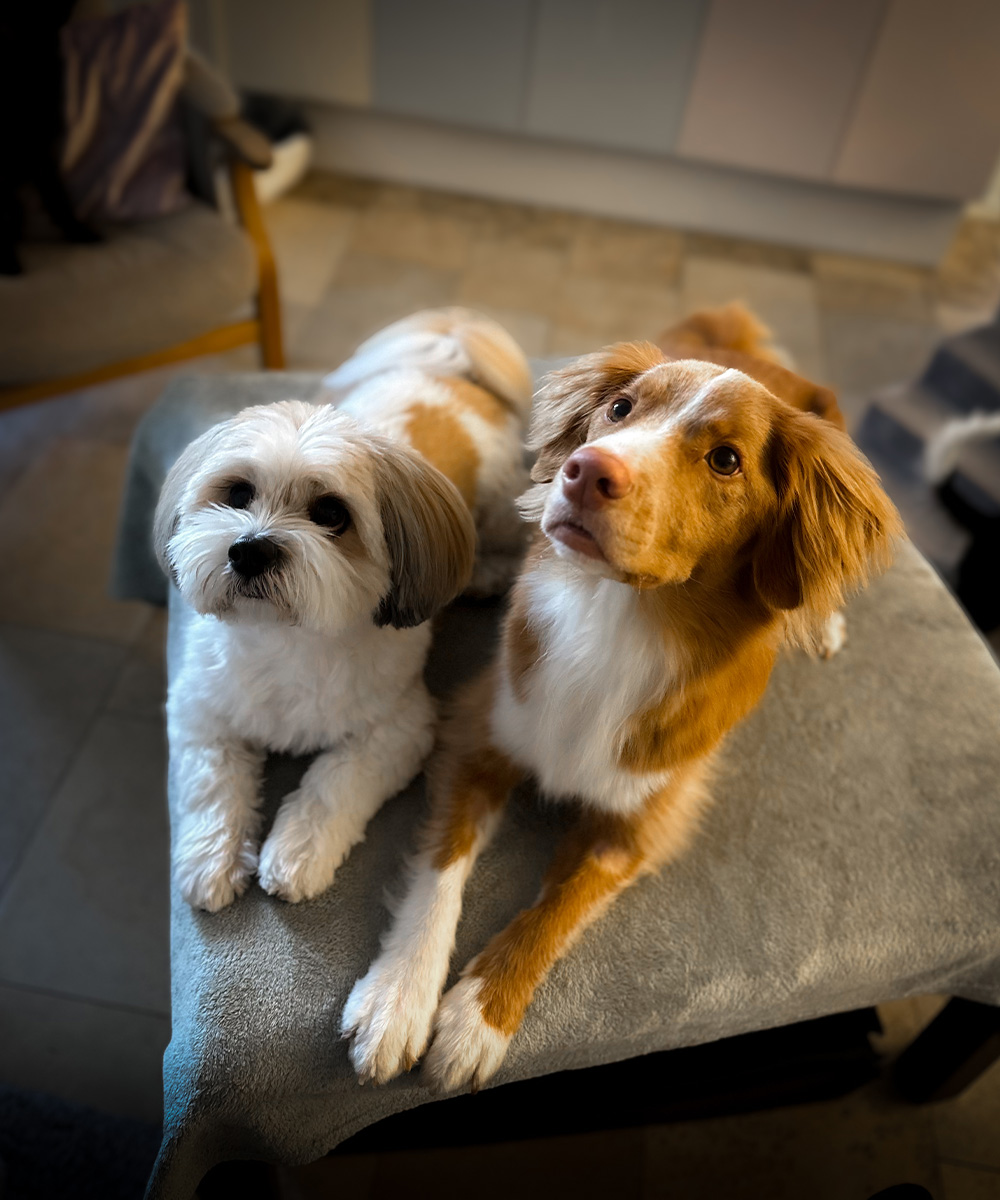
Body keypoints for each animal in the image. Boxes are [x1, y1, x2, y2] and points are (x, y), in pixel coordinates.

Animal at [154, 309, 532, 912]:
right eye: (237, 494)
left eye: (331, 513)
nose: (250, 549)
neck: (288, 640)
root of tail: (451, 365)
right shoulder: (200, 709)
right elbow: (212, 782)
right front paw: (211, 858)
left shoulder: (398, 727)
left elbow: (335, 783)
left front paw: (297, 852)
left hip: (498, 509)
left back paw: (485, 574)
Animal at [341, 332, 902, 1092]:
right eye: (620, 409)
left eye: (726, 459)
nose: (584, 472)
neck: (620, 618)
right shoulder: (479, 733)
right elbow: (440, 870)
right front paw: (398, 996)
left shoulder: (642, 824)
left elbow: (559, 908)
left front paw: (480, 1015)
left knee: (816, 589)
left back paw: (822, 623)